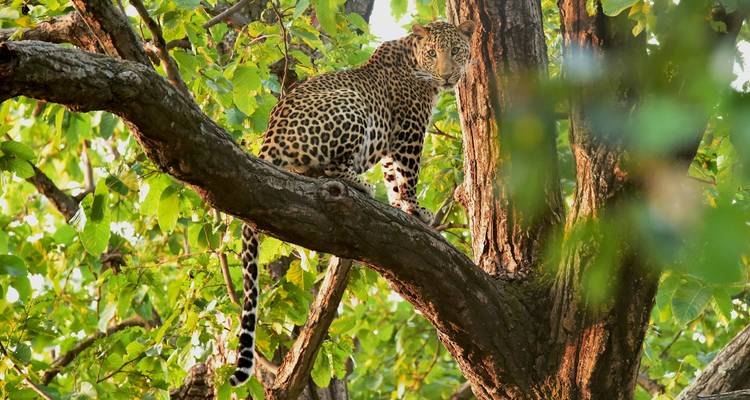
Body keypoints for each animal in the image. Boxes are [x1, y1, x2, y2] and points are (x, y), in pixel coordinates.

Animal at [229, 20, 475, 387]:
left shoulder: (391, 142)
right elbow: (408, 175)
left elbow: (394, 178)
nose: (447, 76)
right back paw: (359, 183)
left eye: (457, 51)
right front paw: (415, 208)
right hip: (351, 102)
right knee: (327, 169)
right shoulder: (409, 130)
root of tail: (270, 137)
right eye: (433, 53)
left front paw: (400, 207)